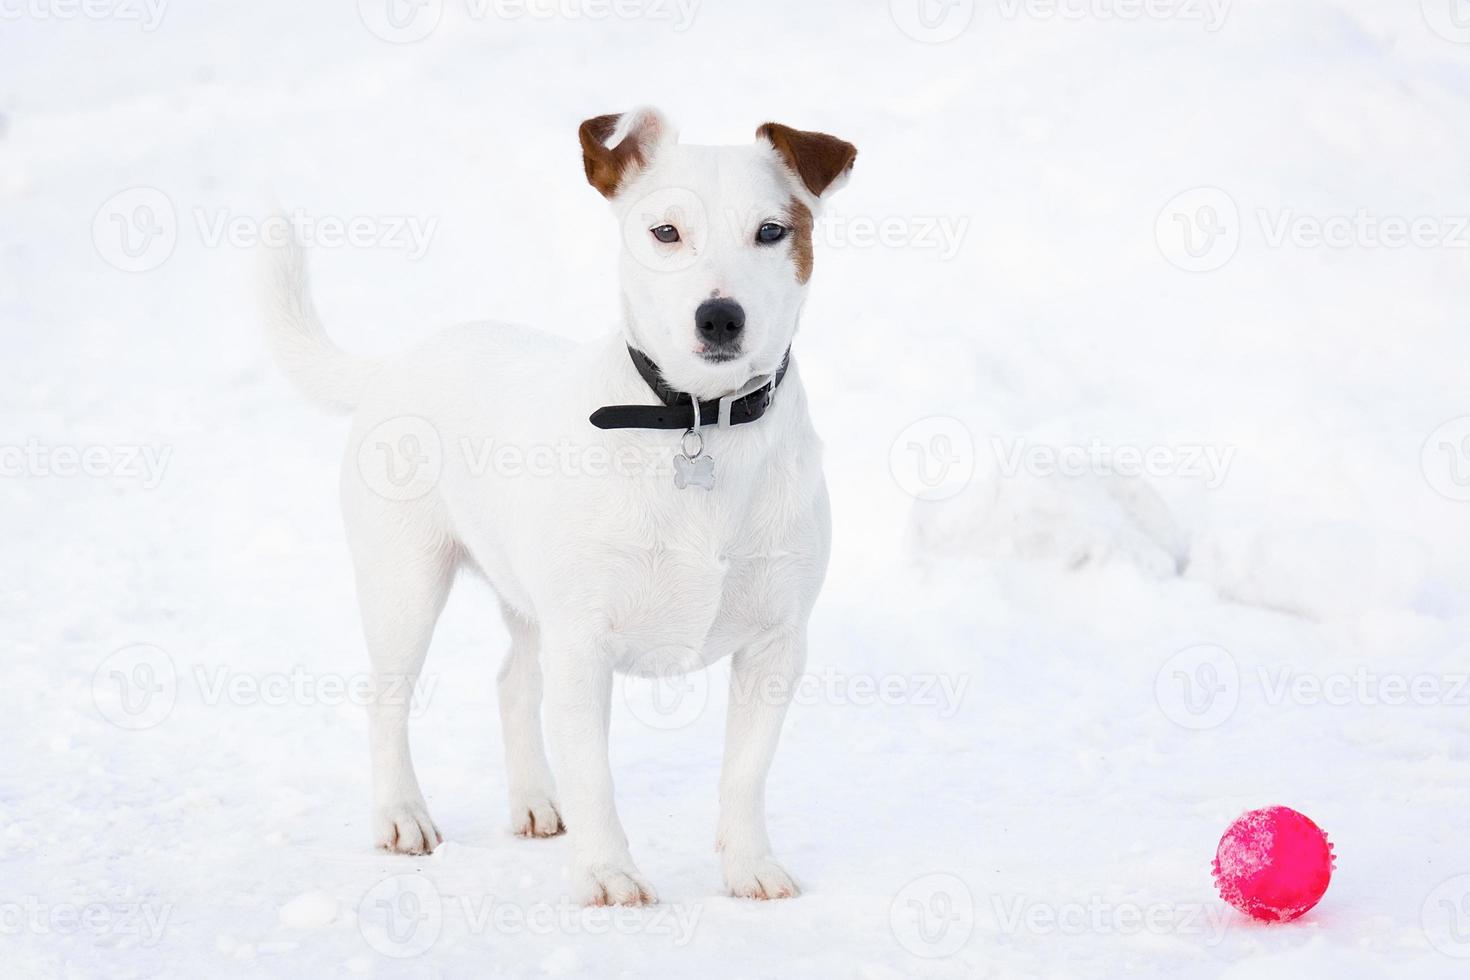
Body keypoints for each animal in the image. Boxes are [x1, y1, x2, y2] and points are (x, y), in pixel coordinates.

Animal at [263, 107, 858, 905]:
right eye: (664, 232)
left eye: (772, 231)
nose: (720, 318)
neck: (697, 419)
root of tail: (397, 362)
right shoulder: (584, 646)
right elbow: (595, 777)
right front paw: (608, 872)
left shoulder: (776, 643)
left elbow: (745, 772)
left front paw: (749, 865)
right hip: (404, 582)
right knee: (386, 698)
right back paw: (401, 815)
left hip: (527, 597)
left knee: (514, 684)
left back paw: (536, 802)